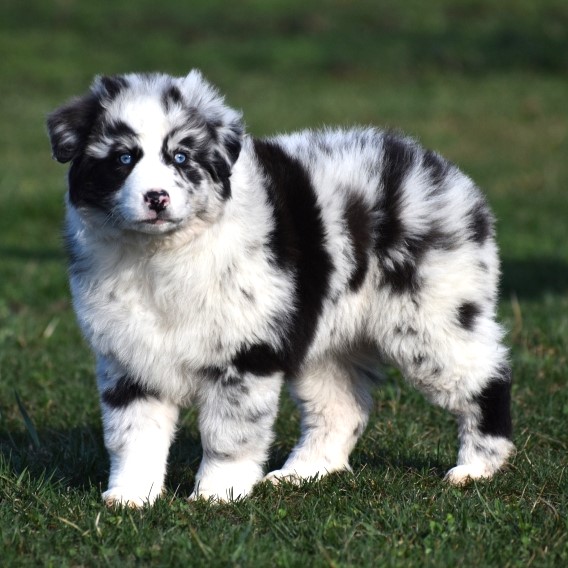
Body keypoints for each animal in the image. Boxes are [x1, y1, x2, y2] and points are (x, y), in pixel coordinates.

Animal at [46, 70, 512, 506]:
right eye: (123, 158)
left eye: (181, 156)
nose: (156, 198)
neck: (160, 257)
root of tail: (441, 170)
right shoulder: (128, 358)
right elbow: (133, 435)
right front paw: (130, 496)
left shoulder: (245, 353)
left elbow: (228, 434)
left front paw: (217, 494)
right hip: (326, 341)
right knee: (341, 408)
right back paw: (302, 473)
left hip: (432, 317)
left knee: (486, 377)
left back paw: (476, 467)